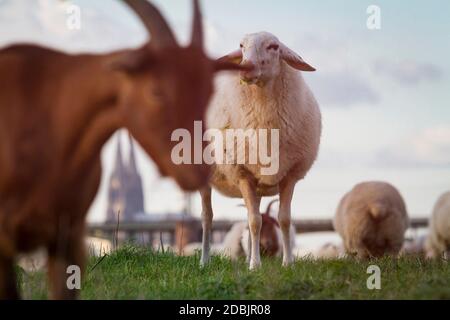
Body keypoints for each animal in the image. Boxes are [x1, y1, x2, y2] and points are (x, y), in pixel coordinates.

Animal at [200, 31, 320, 268]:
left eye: (274, 47)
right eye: (241, 46)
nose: (245, 66)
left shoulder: (289, 175)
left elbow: (284, 219)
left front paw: (288, 263)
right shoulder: (243, 174)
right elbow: (254, 222)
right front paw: (255, 265)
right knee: (207, 217)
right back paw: (204, 260)